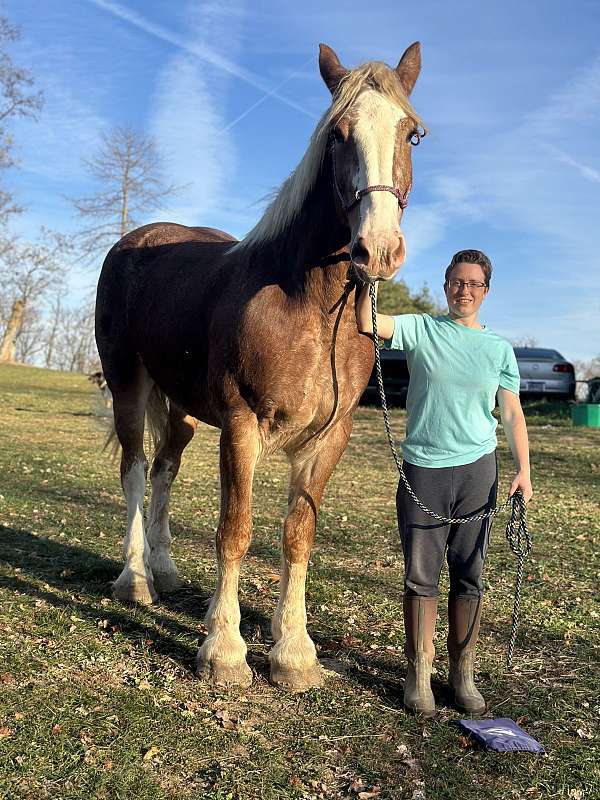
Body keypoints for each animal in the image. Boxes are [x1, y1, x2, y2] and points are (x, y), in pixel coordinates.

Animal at [95, 42, 425, 691]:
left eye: (412, 132)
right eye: (337, 135)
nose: (378, 248)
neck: (306, 304)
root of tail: (134, 241)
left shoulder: (328, 438)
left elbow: (298, 535)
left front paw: (293, 652)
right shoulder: (242, 425)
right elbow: (235, 530)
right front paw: (224, 650)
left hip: (183, 410)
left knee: (165, 471)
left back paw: (165, 571)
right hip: (128, 387)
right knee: (136, 472)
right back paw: (136, 579)